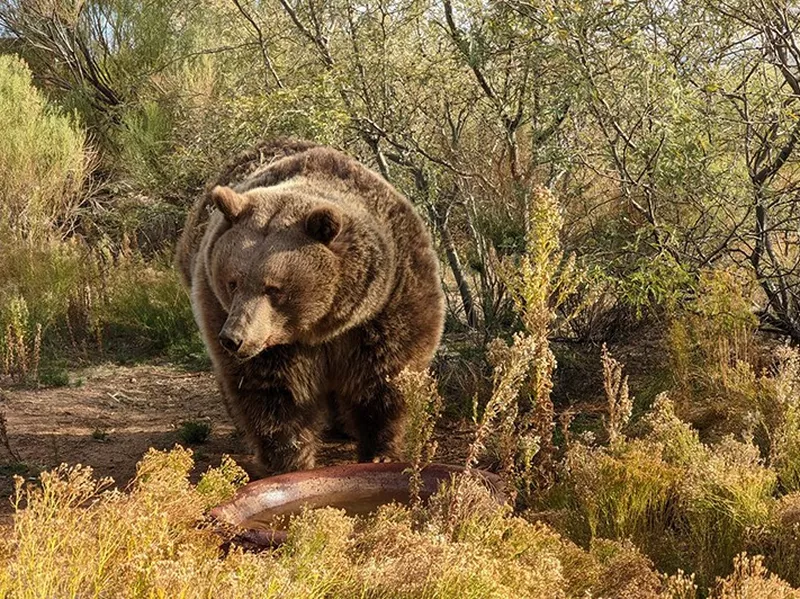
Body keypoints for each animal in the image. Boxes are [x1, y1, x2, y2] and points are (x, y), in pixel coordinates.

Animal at [176, 139, 446, 474]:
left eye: (273, 288)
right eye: (232, 281)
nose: (234, 338)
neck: (324, 324)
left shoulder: (388, 304)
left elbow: (383, 379)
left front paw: (380, 452)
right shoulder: (270, 341)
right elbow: (276, 395)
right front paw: (288, 462)